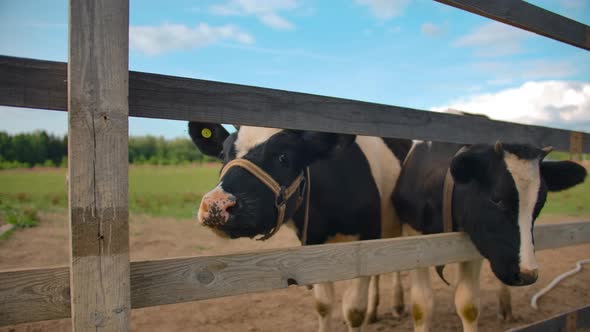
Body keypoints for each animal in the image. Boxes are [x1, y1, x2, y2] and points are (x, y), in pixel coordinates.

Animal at [192, 122, 414, 332]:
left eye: (283, 156)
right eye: (223, 154)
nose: (215, 204)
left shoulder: (366, 238)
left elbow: (354, 311)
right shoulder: (314, 244)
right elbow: (323, 305)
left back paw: (397, 306)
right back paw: (373, 312)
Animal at [394, 141, 588, 332]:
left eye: (540, 203)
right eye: (496, 199)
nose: (528, 274)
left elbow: (468, 306)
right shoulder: (414, 239)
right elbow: (422, 307)